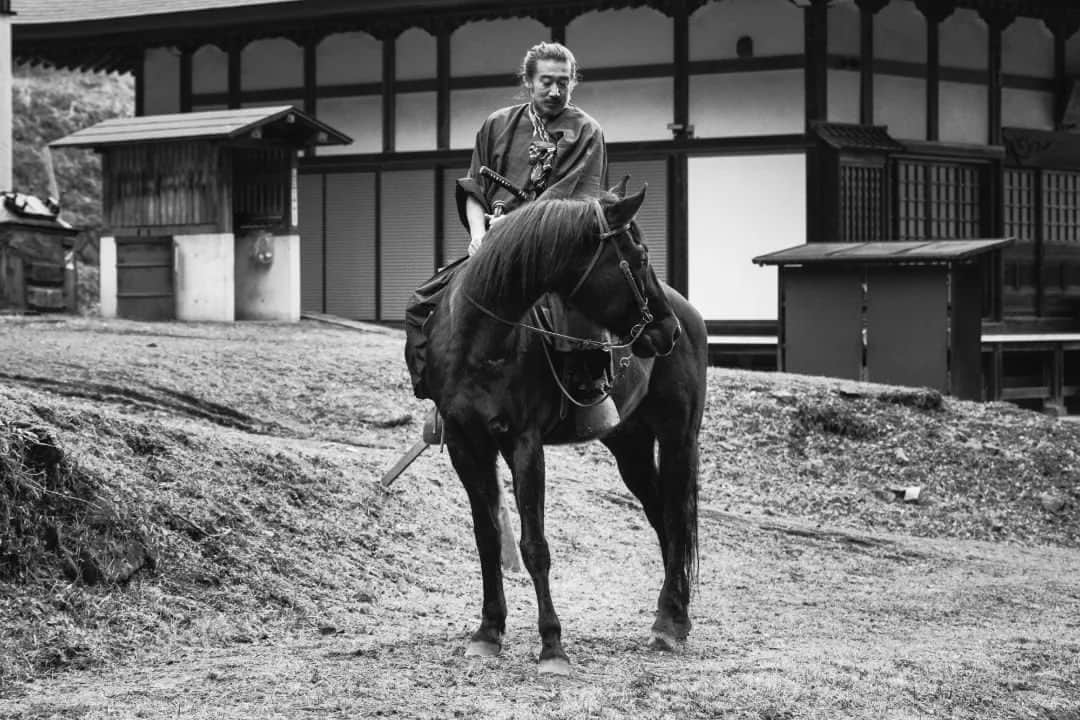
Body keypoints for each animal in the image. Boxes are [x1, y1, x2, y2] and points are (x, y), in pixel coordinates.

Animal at [414, 184, 708, 677]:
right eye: (639, 257)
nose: (666, 330)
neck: (481, 340)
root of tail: (690, 314)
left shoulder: (525, 442)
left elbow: (534, 544)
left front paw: (552, 645)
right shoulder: (464, 441)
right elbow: (486, 537)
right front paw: (488, 631)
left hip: (678, 436)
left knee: (674, 515)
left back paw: (670, 621)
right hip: (628, 443)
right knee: (660, 516)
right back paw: (673, 615)